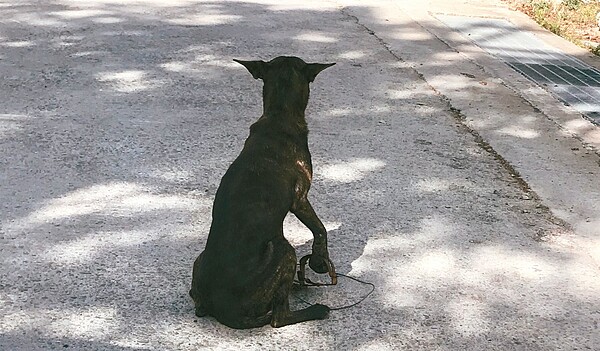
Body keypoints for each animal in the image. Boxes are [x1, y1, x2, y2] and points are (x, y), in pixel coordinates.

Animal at [190, 55, 336, 330]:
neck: (279, 114)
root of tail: (221, 309)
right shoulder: (300, 198)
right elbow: (320, 229)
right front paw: (320, 260)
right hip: (284, 249)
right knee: (279, 317)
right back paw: (315, 309)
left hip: (199, 261)